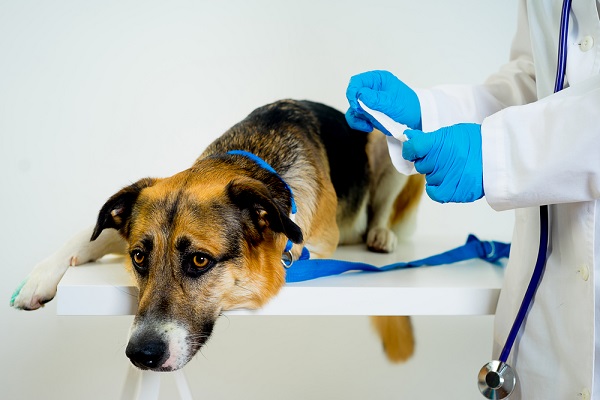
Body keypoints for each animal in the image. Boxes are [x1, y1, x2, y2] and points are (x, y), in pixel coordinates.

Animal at [9, 100, 424, 372]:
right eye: (139, 257)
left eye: (199, 260)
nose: (141, 355)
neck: (250, 161)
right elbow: (93, 234)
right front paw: (39, 278)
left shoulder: (310, 245)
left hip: (392, 150)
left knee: (381, 209)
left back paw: (381, 235)